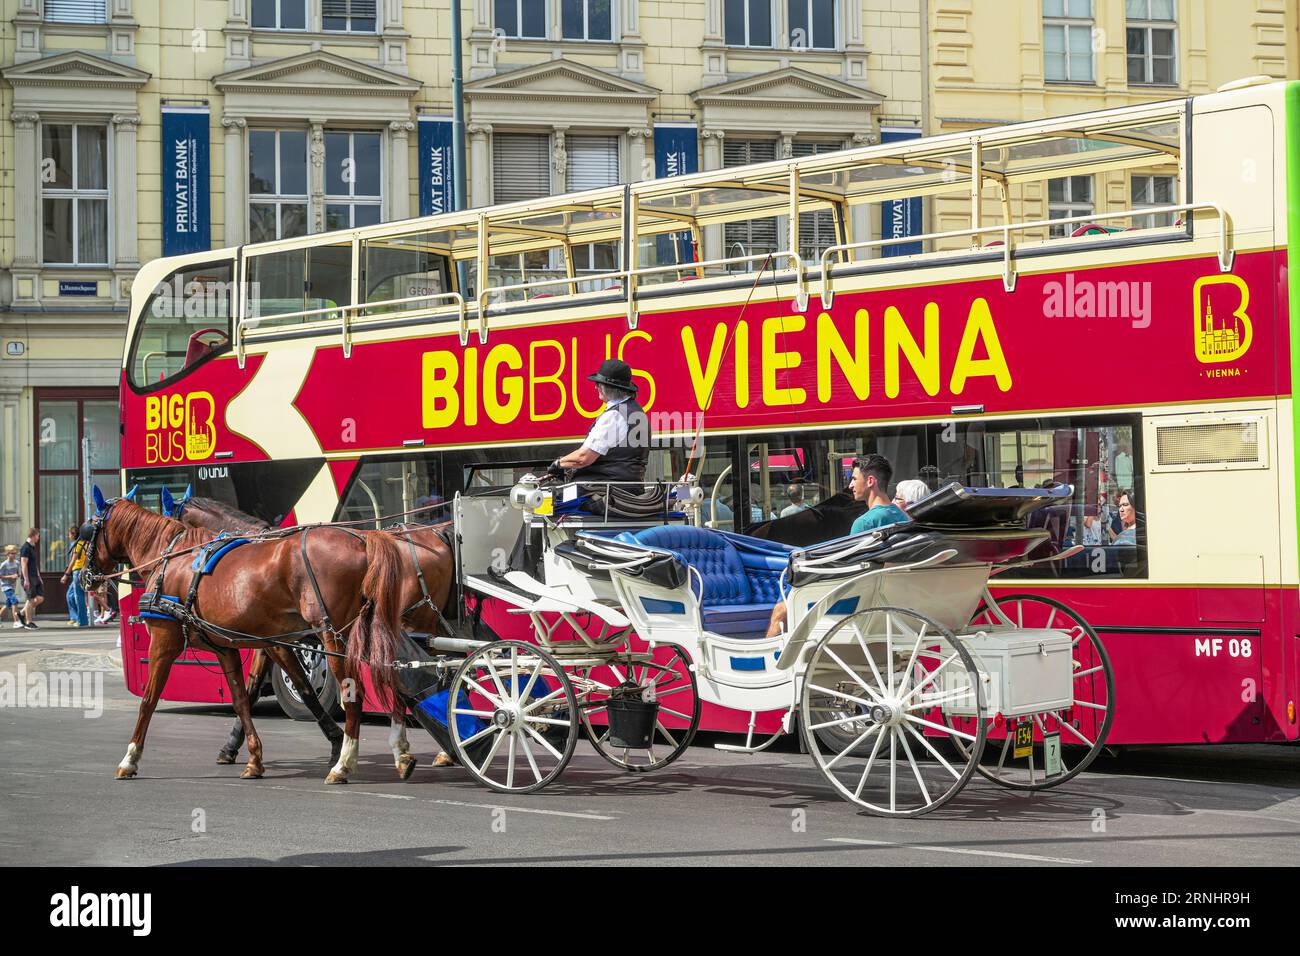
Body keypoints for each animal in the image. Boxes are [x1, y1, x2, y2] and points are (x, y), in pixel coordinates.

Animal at [85, 494, 405, 785]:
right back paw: (400, 753)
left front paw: (130, 758)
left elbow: (149, 700)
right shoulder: (231, 647)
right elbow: (243, 698)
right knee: (391, 679)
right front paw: (252, 757)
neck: (172, 558)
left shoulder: (165, 642)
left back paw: (345, 764)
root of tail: (362, 541)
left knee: (355, 692)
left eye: (88, 530)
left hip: (333, 636)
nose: (86, 577)